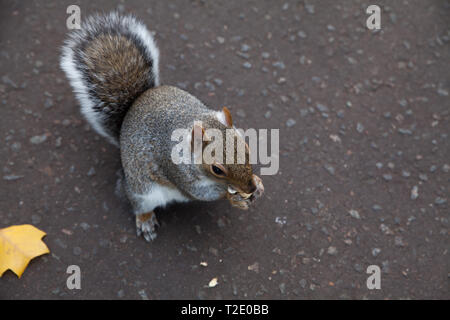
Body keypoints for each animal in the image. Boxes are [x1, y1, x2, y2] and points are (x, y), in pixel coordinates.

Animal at [59, 13, 264, 242]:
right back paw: (146, 220)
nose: (249, 187)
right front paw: (231, 196)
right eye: (217, 169)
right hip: (142, 192)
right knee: (139, 205)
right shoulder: (176, 169)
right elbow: (200, 193)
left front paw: (258, 183)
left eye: (247, 148)